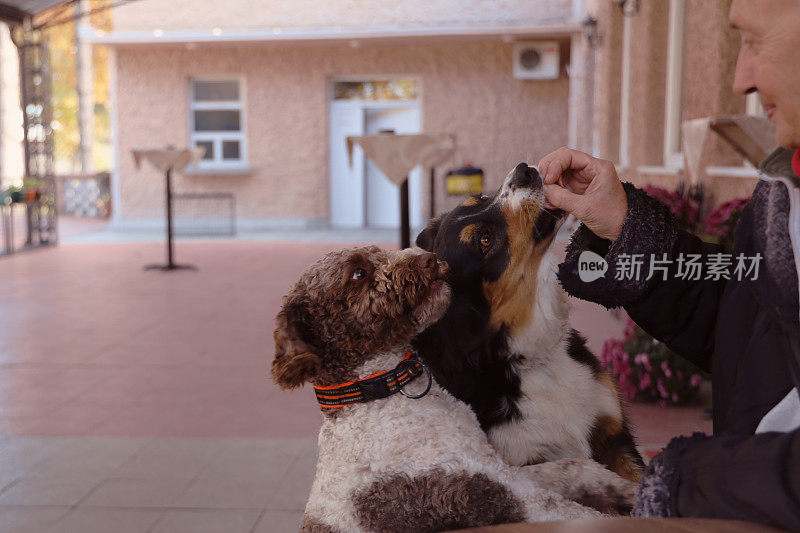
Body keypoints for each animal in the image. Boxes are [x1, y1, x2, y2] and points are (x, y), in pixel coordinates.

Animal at [412, 162, 644, 482]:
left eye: (480, 198)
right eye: (485, 240)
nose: (524, 171)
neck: (534, 356)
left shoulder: (614, 434)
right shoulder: (522, 459)